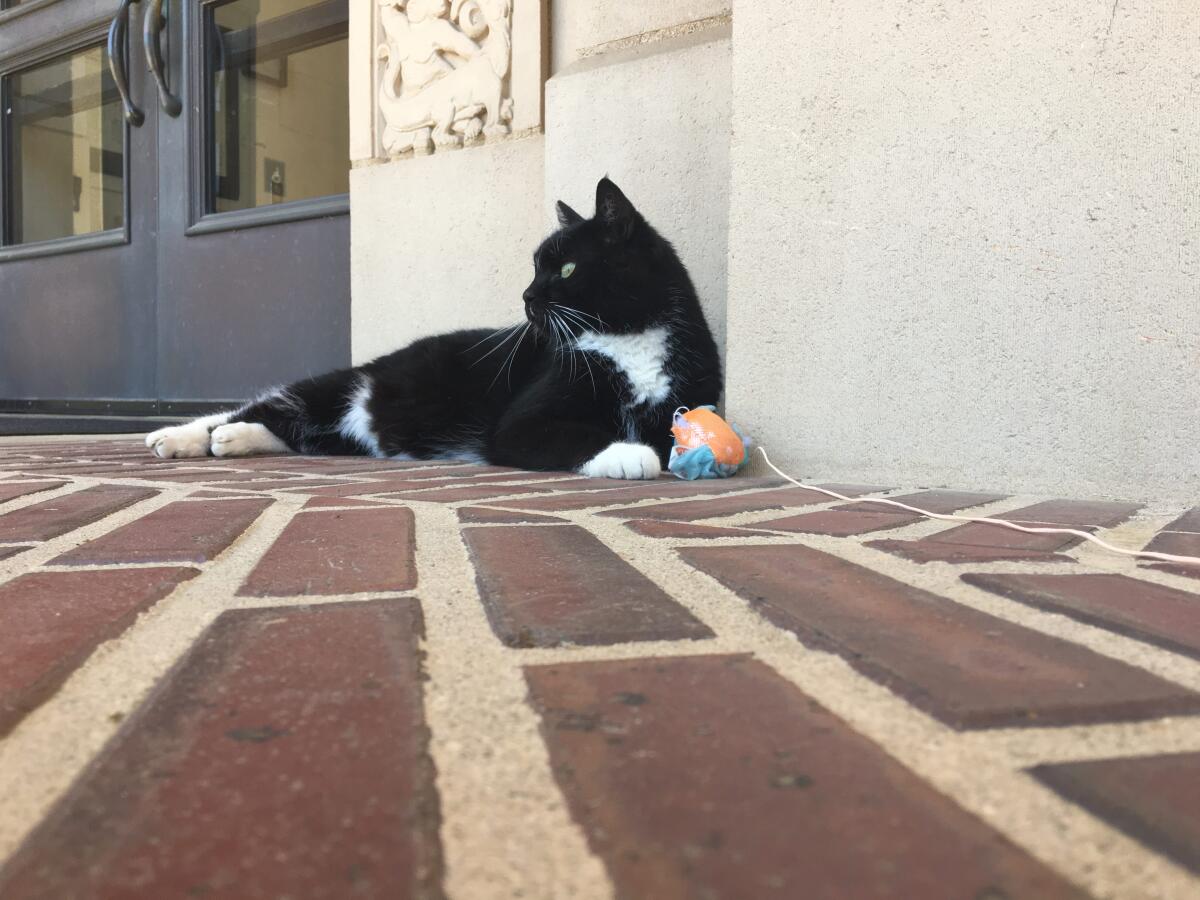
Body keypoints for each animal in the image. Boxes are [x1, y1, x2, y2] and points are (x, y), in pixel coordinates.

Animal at [142, 178, 720, 482]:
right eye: (536, 268)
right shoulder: (524, 421)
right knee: (269, 403)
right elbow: (572, 435)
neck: (627, 339)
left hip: (346, 432)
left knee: (294, 430)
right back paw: (180, 436)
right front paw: (629, 454)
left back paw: (232, 440)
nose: (527, 297)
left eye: (567, 269)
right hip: (347, 386)